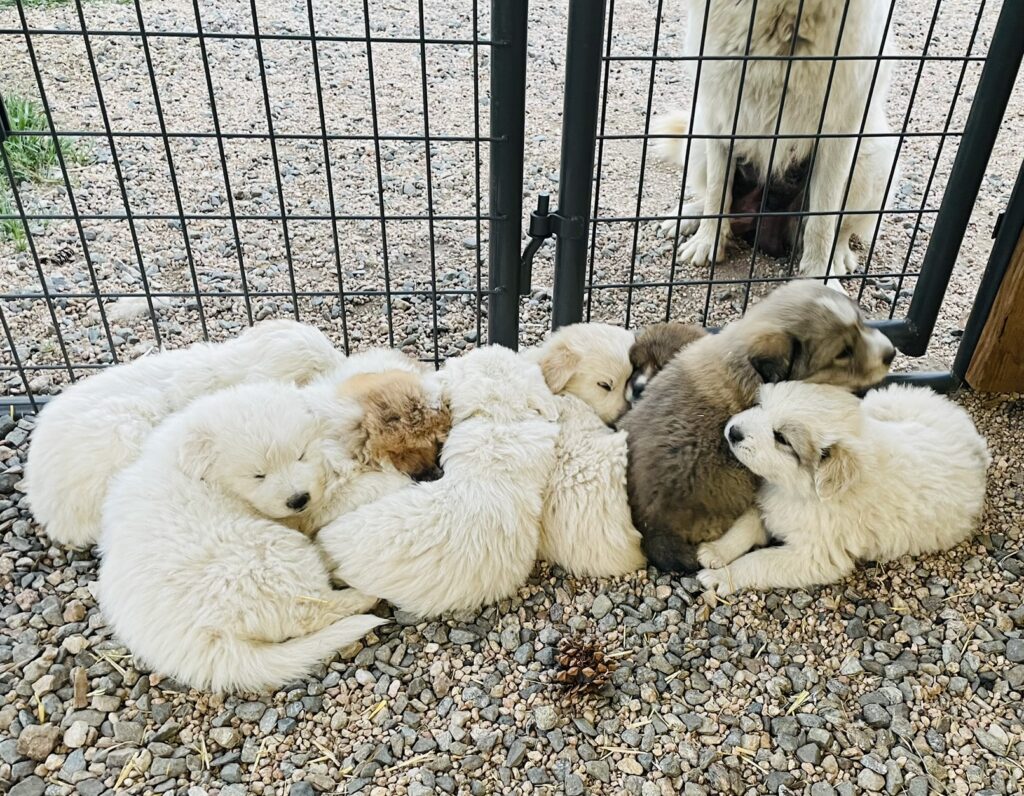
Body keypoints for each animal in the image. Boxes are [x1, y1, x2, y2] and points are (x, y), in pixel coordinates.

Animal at [655, 0, 897, 276]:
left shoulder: (839, 130)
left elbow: (823, 219)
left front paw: (817, 274)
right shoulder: (717, 110)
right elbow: (717, 191)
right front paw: (707, 242)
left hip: (871, 159)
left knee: (843, 227)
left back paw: (836, 257)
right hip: (696, 138)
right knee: (710, 194)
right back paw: (688, 216)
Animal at [692, 381, 987, 594]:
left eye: (782, 438)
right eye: (761, 405)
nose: (733, 431)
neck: (802, 491)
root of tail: (976, 441)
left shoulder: (815, 556)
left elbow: (759, 561)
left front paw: (721, 577)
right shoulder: (771, 503)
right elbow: (747, 524)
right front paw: (716, 551)